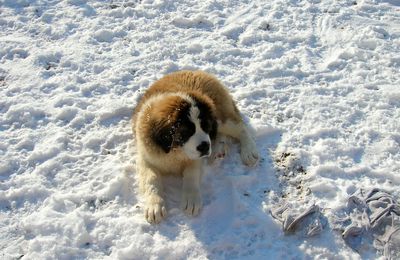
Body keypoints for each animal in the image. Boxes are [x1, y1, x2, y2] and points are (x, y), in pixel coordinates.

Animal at [133, 70, 260, 223]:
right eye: (186, 132)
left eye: (205, 126)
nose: (205, 147)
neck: (175, 151)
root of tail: (197, 71)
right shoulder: (146, 159)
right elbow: (151, 180)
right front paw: (154, 206)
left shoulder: (195, 159)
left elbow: (191, 174)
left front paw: (191, 200)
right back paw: (218, 150)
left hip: (221, 117)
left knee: (240, 128)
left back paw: (248, 152)